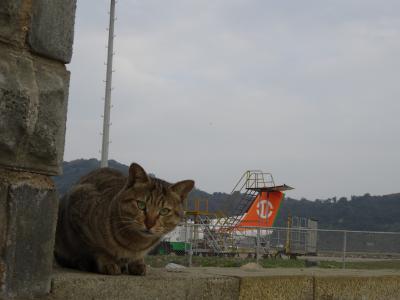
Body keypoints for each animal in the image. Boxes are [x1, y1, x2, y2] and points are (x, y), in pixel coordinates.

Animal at [54, 163, 195, 276]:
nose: (149, 224)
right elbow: (98, 249)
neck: (135, 244)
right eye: (141, 204)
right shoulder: (78, 210)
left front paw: (137, 263)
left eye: (164, 211)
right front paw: (108, 262)